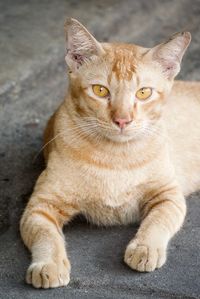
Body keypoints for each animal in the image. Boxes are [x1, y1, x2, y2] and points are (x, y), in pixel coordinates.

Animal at [19, 17, 200, 290]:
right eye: (100, 91)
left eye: (143, 93)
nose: (122, 120)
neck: (116, 157)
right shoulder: (39, 206)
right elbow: (45, 235)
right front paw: (48, 264)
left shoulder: (168, 196)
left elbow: (158, 221)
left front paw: (145, 248)